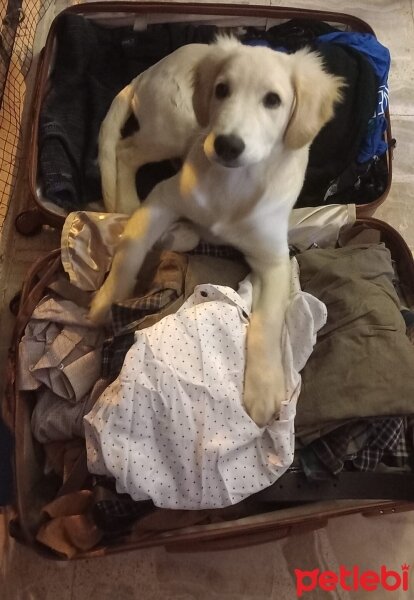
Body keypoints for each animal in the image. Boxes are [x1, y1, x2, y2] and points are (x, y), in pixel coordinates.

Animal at [90, 36, 342, 426]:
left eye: (273, 100)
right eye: (222, 89)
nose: (226, 145)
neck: (234, 183)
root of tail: (144, 74)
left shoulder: (274, 259)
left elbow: (267, 322)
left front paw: (264, 389)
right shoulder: (164, 196)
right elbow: (130, 252)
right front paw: (106, 300)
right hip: (176, 127)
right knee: (125, 150)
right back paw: (128, 201)